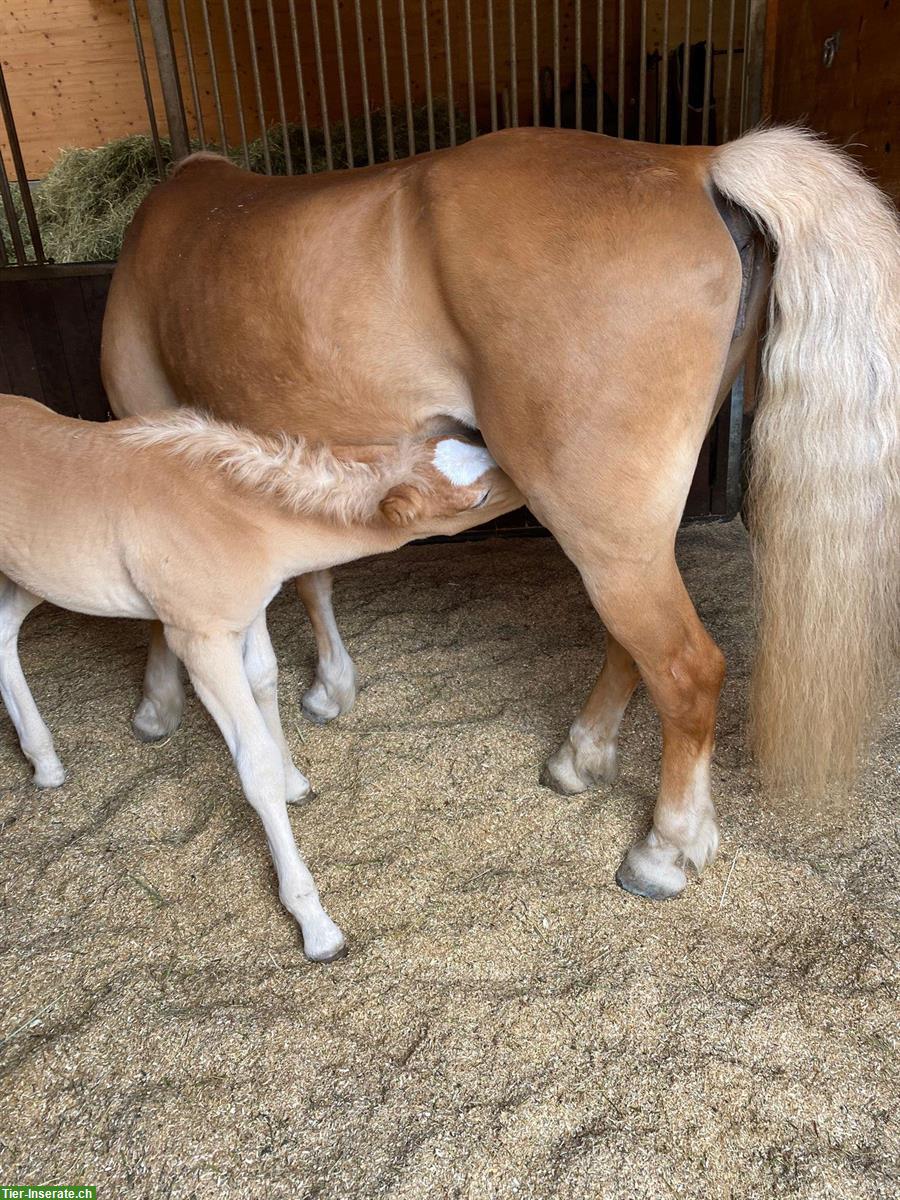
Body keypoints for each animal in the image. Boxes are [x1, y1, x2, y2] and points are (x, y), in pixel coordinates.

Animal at [0, 398, 520, 960]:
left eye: (475, 444)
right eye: (479, 497)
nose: (529, 489)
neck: (232, 518)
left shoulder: (249, 610)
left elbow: (264, 680)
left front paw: (296, 784)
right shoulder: (201, 640)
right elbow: (256, 767)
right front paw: (315, 924)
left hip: (34, 575)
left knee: (3, 630)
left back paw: (46, 764)